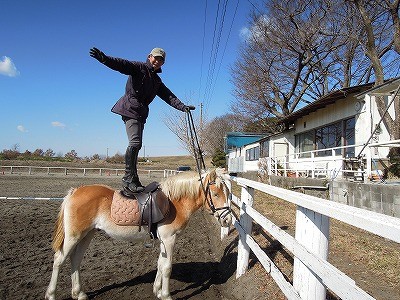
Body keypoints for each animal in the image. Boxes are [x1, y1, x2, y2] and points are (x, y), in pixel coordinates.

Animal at [44, 169, 231, 300]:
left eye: (228, 193)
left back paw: (79, 293)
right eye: (215, 194)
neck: (175, 202)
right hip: (74, 236)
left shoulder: (163, 241)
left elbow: (160, 264)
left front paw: (157, 291)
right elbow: (167, 267)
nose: (228, 220)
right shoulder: (169, 239)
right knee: (59, 260)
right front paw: (166, 295)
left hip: (87, 235)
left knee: (75, 259)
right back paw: (51, 294)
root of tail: (75, 191)